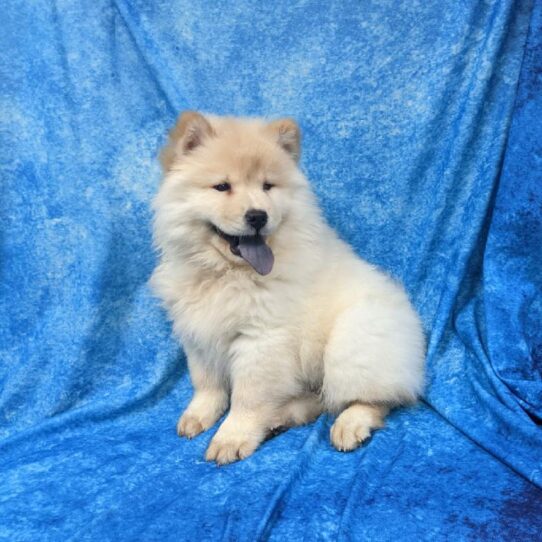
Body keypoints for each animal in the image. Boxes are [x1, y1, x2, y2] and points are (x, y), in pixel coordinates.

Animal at [151, 112, 428, 466]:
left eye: (268, 186)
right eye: (222, 187)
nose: (258, 215)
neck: (225, 273)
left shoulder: (261, 340)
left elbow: (247, 397)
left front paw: (231, 438)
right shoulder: (197, 332)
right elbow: (206, 382)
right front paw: (198, 416)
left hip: (352, 342)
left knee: (375, 397)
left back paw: (349, 425)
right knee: (320, 398)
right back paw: (282, 417)